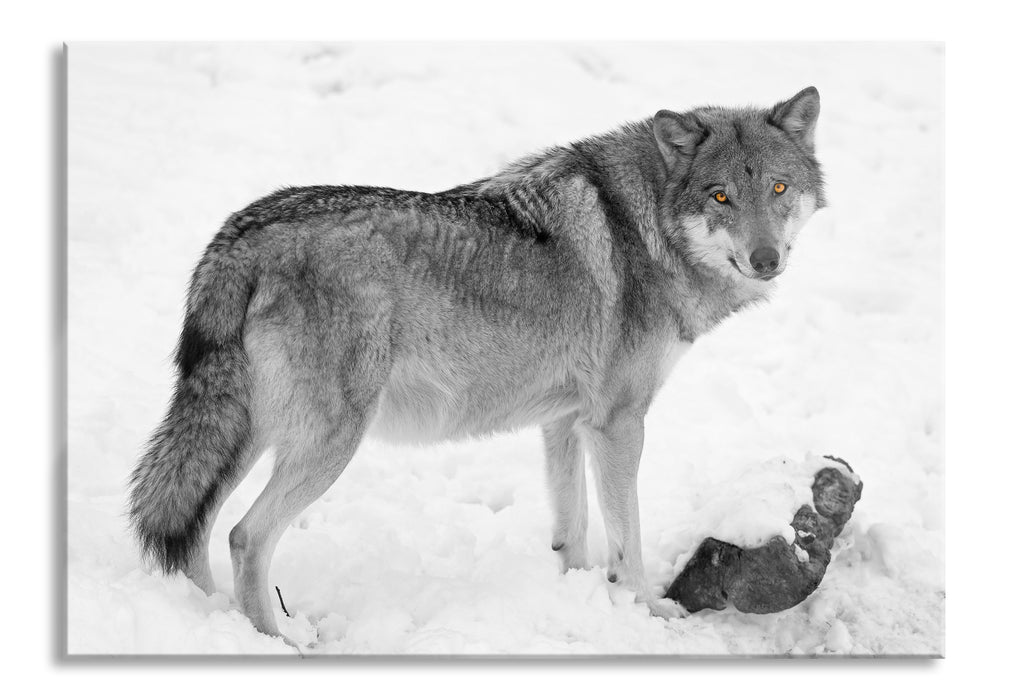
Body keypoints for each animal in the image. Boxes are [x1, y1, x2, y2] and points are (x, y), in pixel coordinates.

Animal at [128, 87, 825, 642]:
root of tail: (238, 236)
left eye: (778, 189)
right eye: (720, 196)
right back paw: (282, 643)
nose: (766, 259)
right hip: (327, 441)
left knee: (196, 530)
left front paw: (579, 602)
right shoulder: (618, 425)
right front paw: (646, 617)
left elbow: (572, 530)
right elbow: (626, 543)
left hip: (250, 433)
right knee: (245, 536)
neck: (644, 222)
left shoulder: (565, 421)